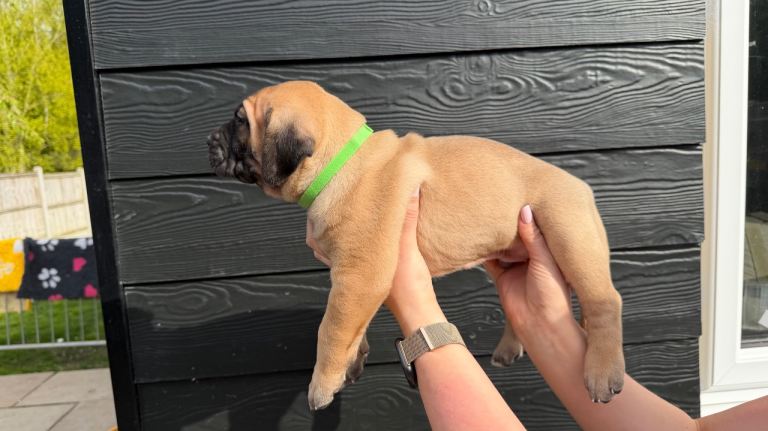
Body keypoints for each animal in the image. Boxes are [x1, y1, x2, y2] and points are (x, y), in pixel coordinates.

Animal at [207, 81, 624, 410]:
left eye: (241, 121)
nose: (210, 140)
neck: (341, 162)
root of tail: (582, 188)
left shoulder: (360, 275)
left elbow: (331, 329)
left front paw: (322, 385)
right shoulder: (355, 280)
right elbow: (350, 324)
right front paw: (351, 361)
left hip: (569, 235)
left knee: (604, 302)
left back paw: (603, 373)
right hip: (516, 256)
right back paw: (509, 347)